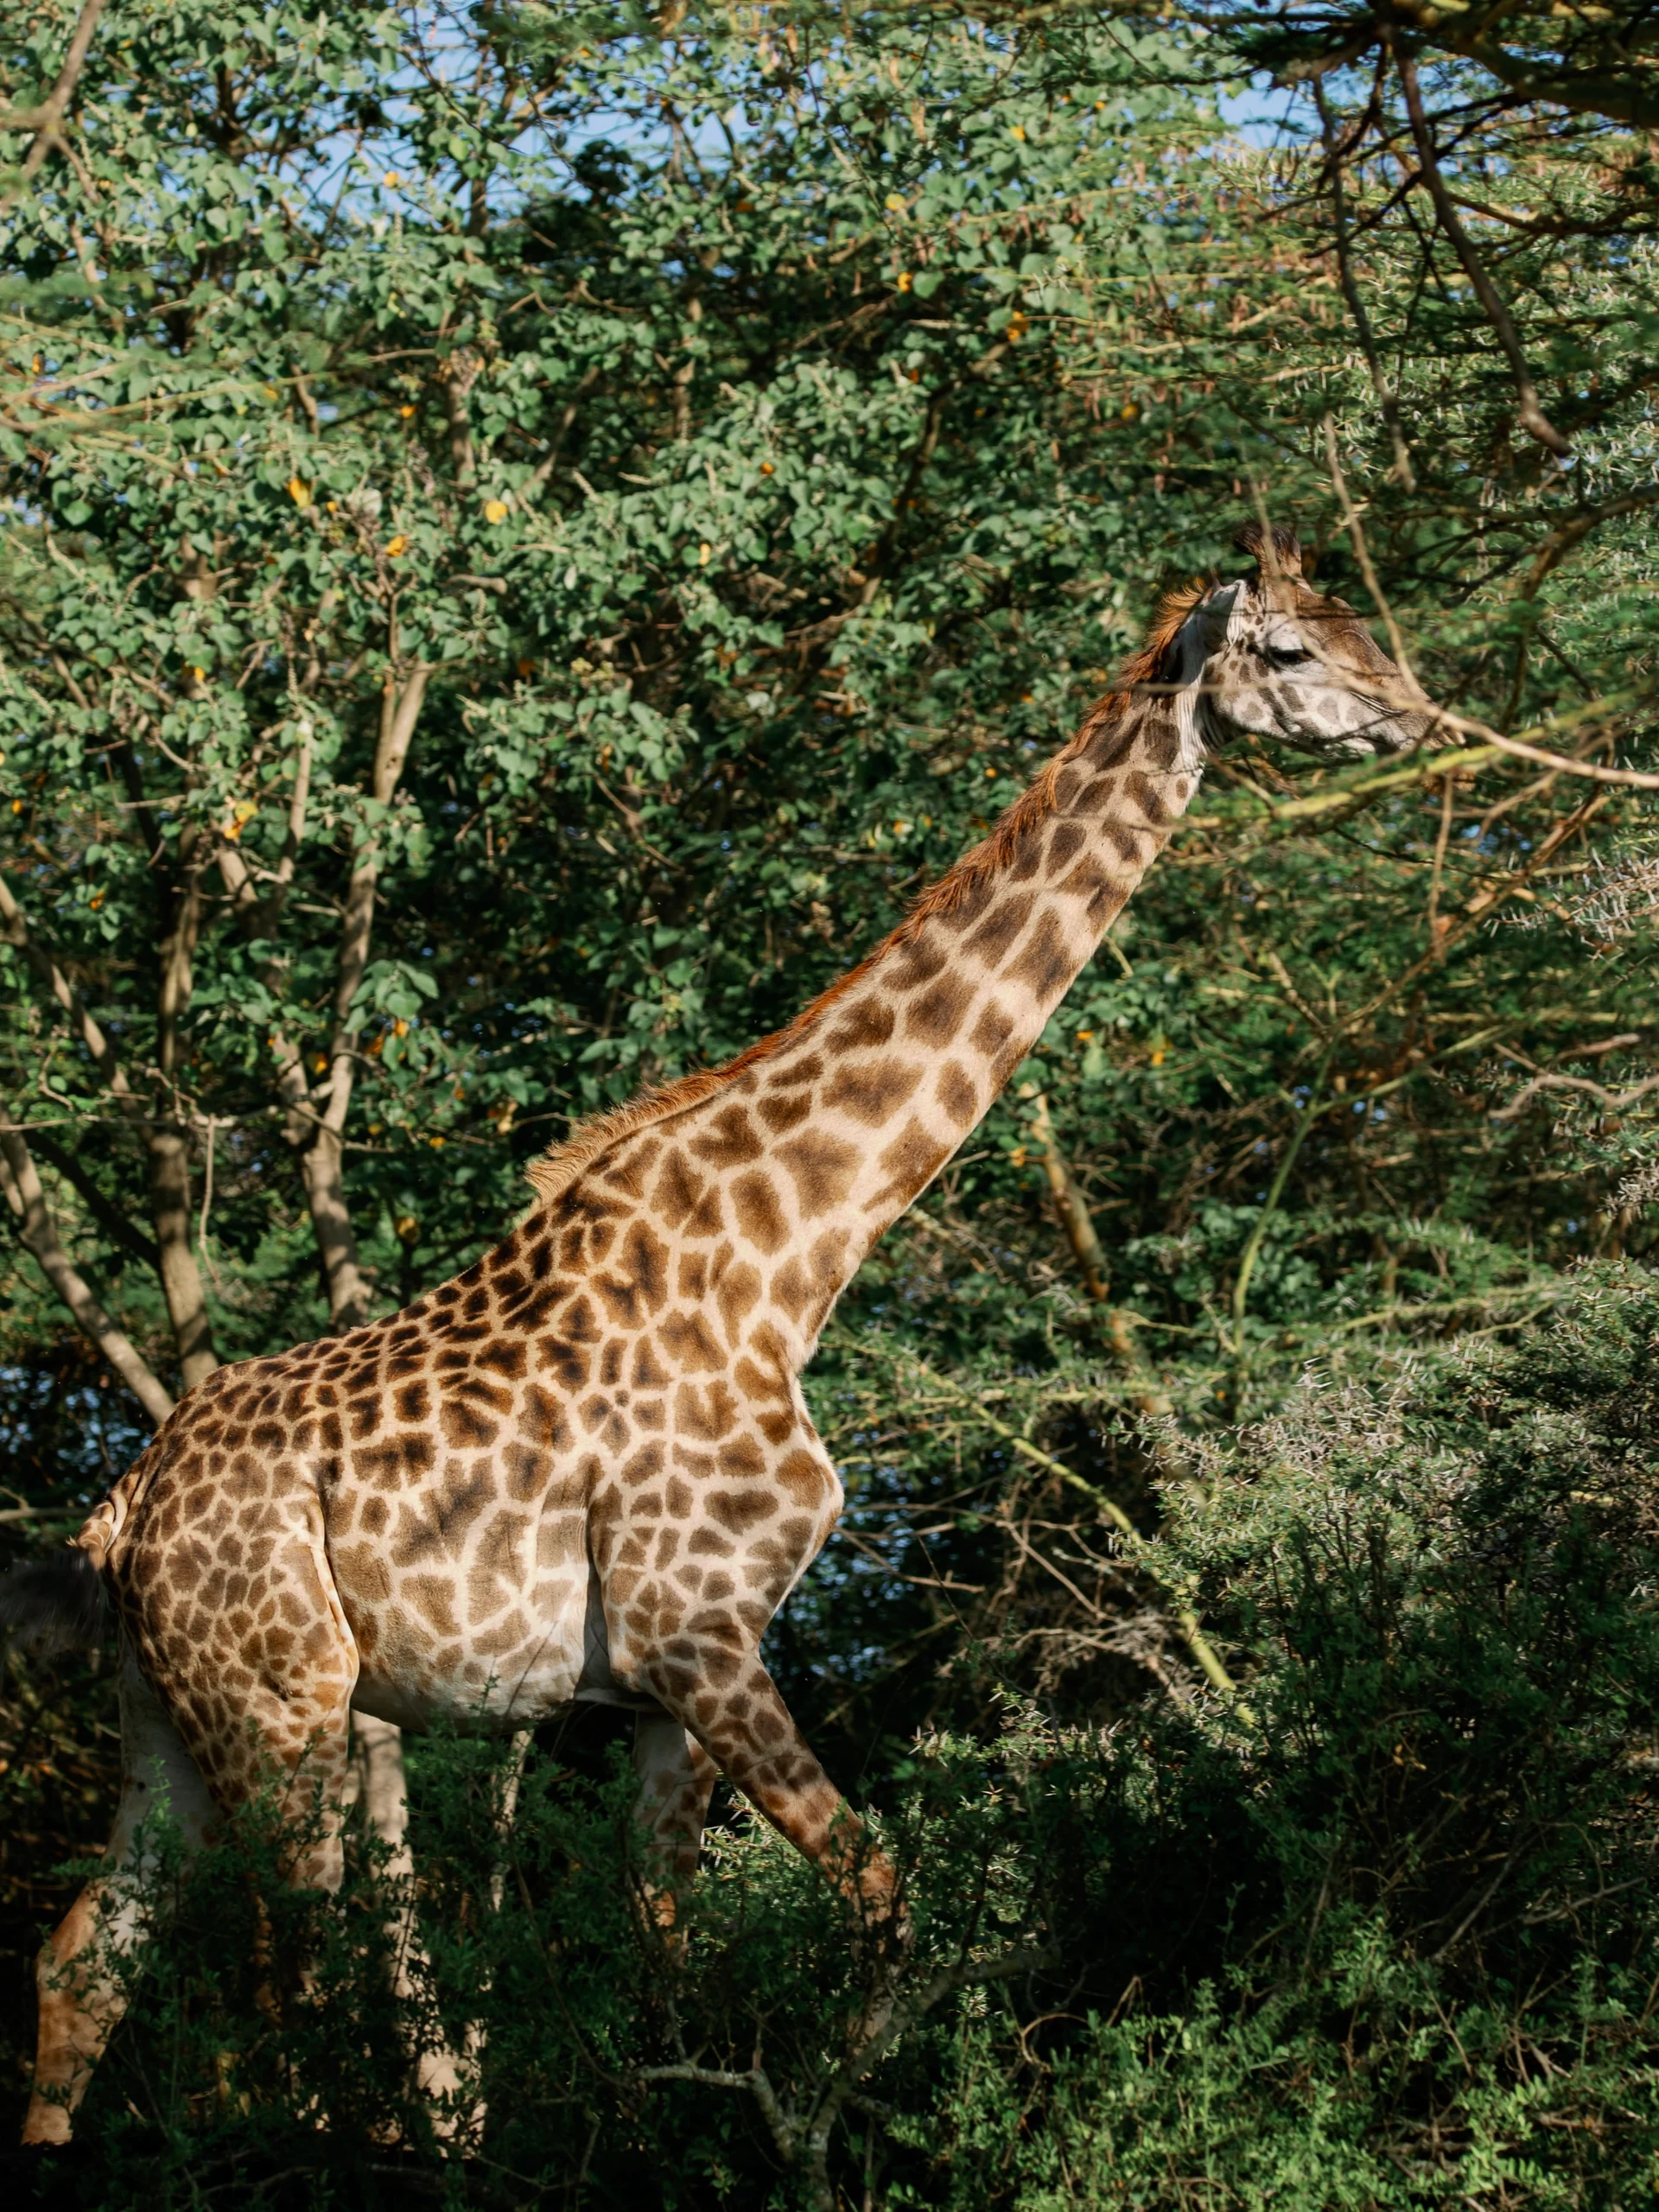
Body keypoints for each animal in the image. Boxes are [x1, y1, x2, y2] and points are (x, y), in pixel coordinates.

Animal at [14, 525, 1435, 2145]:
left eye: (1355, 628)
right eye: (1294, 649)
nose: (1417, 718)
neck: (793, 1250)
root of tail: (122, 1513)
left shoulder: (666, 1682)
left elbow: (665, 1966)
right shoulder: (696, 1632)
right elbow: (884, 1900)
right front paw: (839, 2126)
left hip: (170, 1718)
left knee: (86, 1961)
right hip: (288, 1711)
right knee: (281, 1988)